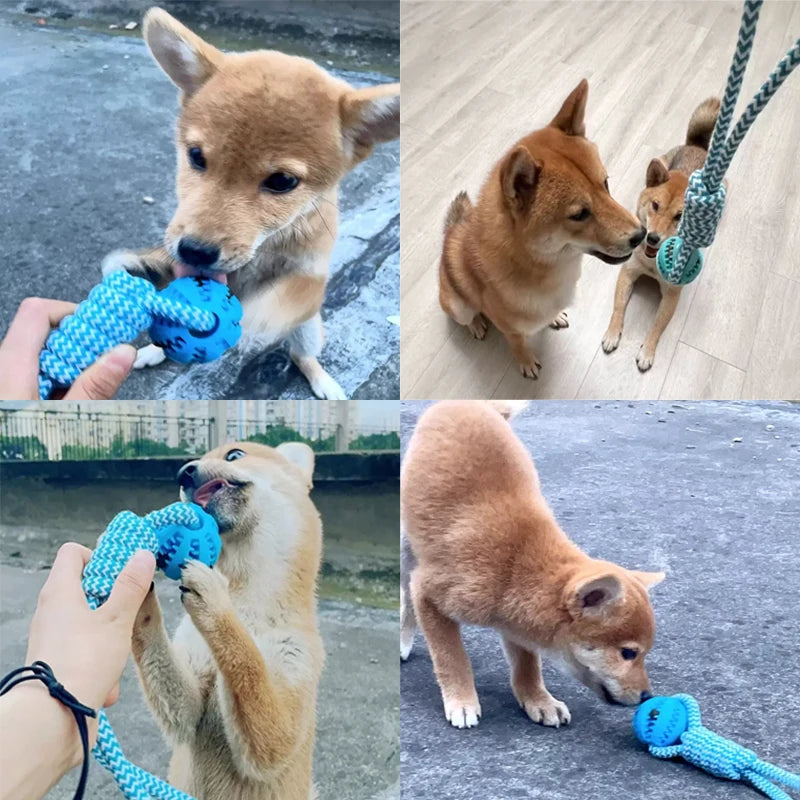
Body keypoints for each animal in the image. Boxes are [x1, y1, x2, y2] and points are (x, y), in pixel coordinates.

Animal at [104, 6, 400, 400]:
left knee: (302, 353)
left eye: (282, 182)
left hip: (309, 329)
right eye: (196, 157)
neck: (266, 246)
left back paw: (321, 380)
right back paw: (154, 348)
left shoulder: (309, 277)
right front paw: (148, 271)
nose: (195, 251)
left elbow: (270, 305)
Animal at [131, 440, 322, 800]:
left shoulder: (293, 674)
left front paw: (215, 600)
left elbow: (248, 664)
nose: (183, 473)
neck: (245, 597)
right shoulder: (190, 703)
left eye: (234, 455)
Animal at [400, 404, 664, 728]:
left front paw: (538, 699)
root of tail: (472, 404)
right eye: (628, 653)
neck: (516, 568)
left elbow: (528, 663)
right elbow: (451, 657)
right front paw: (461, 699)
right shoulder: (430, 593)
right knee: (406, 595)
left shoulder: (517, 623)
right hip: (408, 548)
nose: (648, 697)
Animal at [438, 79, 644, 380]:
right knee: (467, 316)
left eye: (605, 184)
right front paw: (526, 361)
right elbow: (518, 343)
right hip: (458, 305)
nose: (641, 235)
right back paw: (475, 324)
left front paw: (554, 317)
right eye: (579, 214)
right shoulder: (509, 327)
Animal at [604, 97, 720, 372]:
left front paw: (647, 351)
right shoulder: (628, 273)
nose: (653, 238)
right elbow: (618, 308)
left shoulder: (671, 294)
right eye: (655, 206)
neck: (650, 265)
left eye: (679, 217)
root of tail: (697, 146)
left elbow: (657, 326)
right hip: (663, 160)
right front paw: (612, 334)